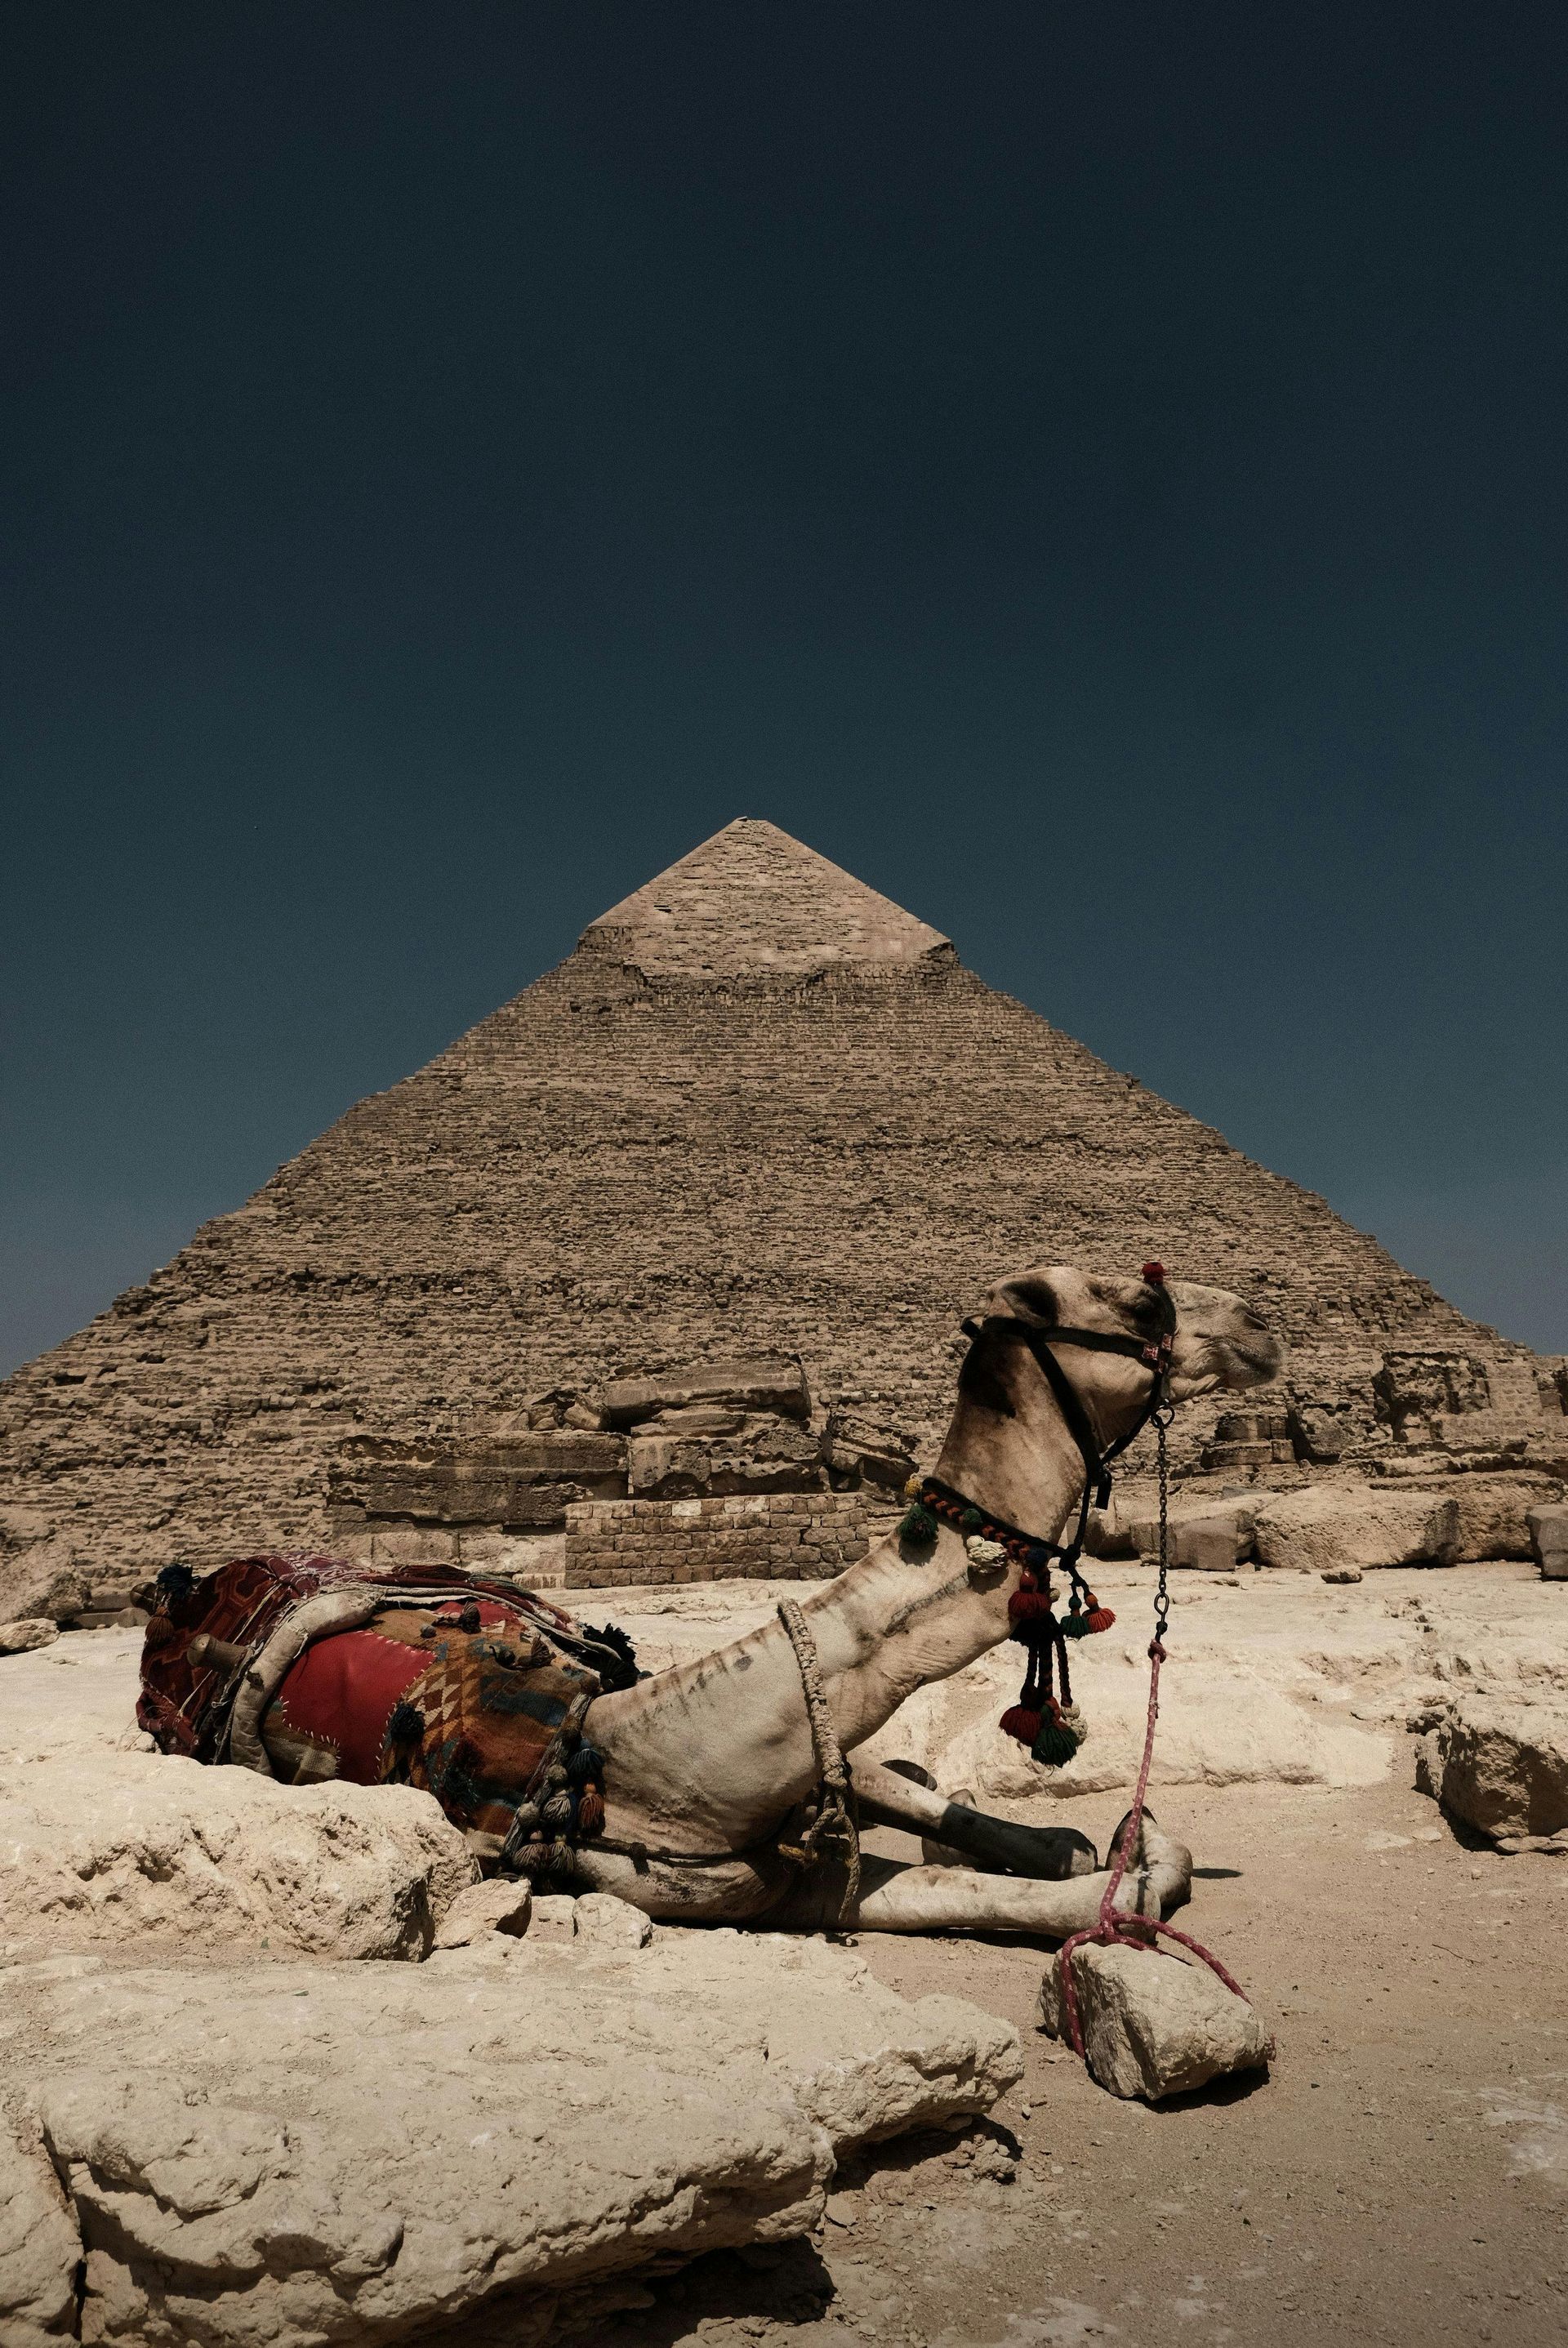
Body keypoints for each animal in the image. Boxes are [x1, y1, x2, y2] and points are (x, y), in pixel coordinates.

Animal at [553, 1263, 1282, 1940]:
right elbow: (1100, 1896)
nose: (1260, 1326)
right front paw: (1131, 1874)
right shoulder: (775, 1889)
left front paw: (1136, 1841)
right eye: (1142, 1303)